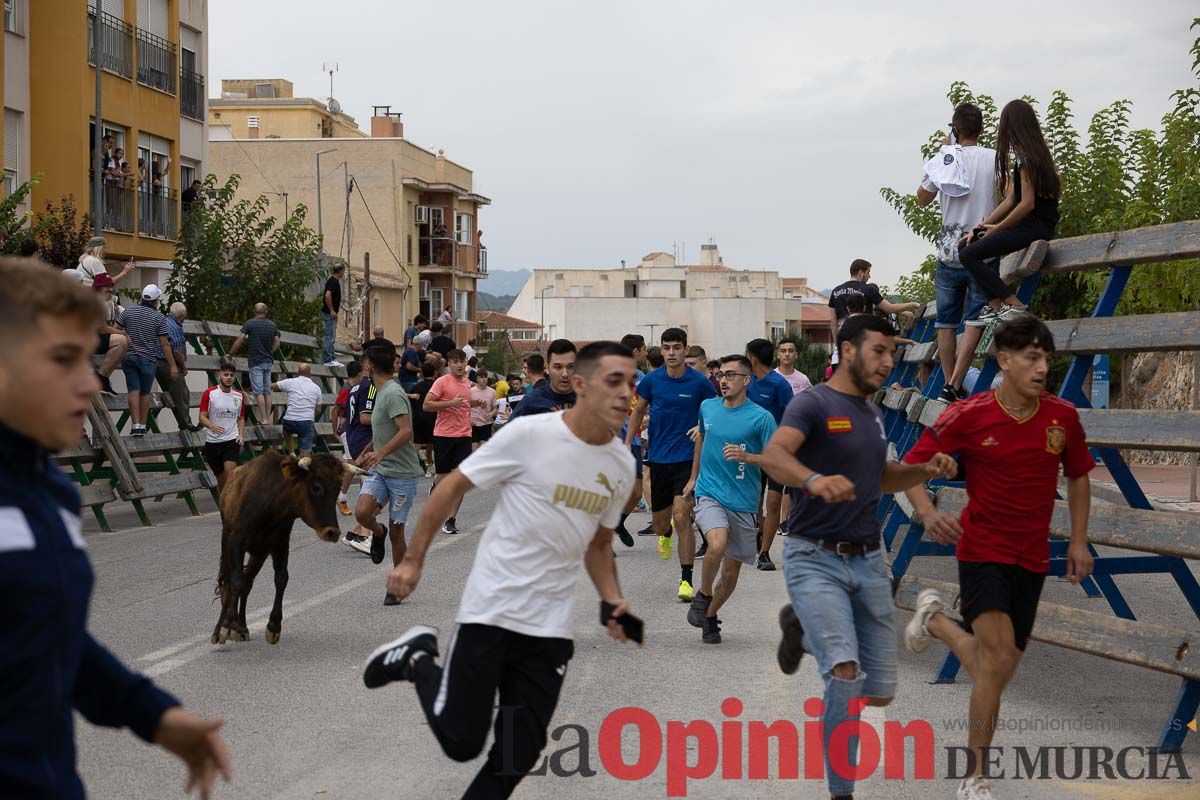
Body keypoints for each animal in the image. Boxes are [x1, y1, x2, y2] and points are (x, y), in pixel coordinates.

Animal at [211, 450, 360, 642]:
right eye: (316, 487)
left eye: (337, 488)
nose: (332, 532)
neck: (273, 505)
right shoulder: (236, 541)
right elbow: (234, 581)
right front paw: (227, 626)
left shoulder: (279, 544)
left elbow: (281, 579)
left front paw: (273, 625)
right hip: (227, 542)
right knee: (229, 582)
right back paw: (219, 630)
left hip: (259, 554)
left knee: (248, 582)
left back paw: (242, 626)